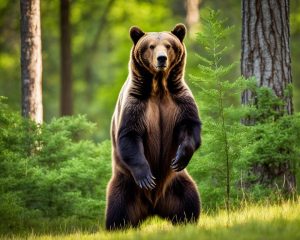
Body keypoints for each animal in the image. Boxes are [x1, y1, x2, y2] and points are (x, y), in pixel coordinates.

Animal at [105, 23, 202, 231]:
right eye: (150, 46)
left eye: (168, 45)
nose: (161, 58)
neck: (159, 87)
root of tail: (153, 207)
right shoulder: (136, 103)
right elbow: (129, 135)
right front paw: (147, 176)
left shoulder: (179, 100)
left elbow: (190, 127)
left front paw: (180, 158)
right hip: (126, 186)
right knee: (118, 210)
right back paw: (117, 226)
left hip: (177, 184)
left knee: (189, 200)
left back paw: (187, 221)